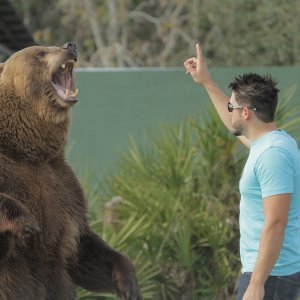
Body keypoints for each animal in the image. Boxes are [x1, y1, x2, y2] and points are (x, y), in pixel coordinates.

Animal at [0, 42, 142, 300]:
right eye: (40, 52)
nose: (70, 45)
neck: (27, 151)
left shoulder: (64, 186)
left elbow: (82, 248)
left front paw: (128, 283)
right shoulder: (11, 173)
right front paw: (25, 221)